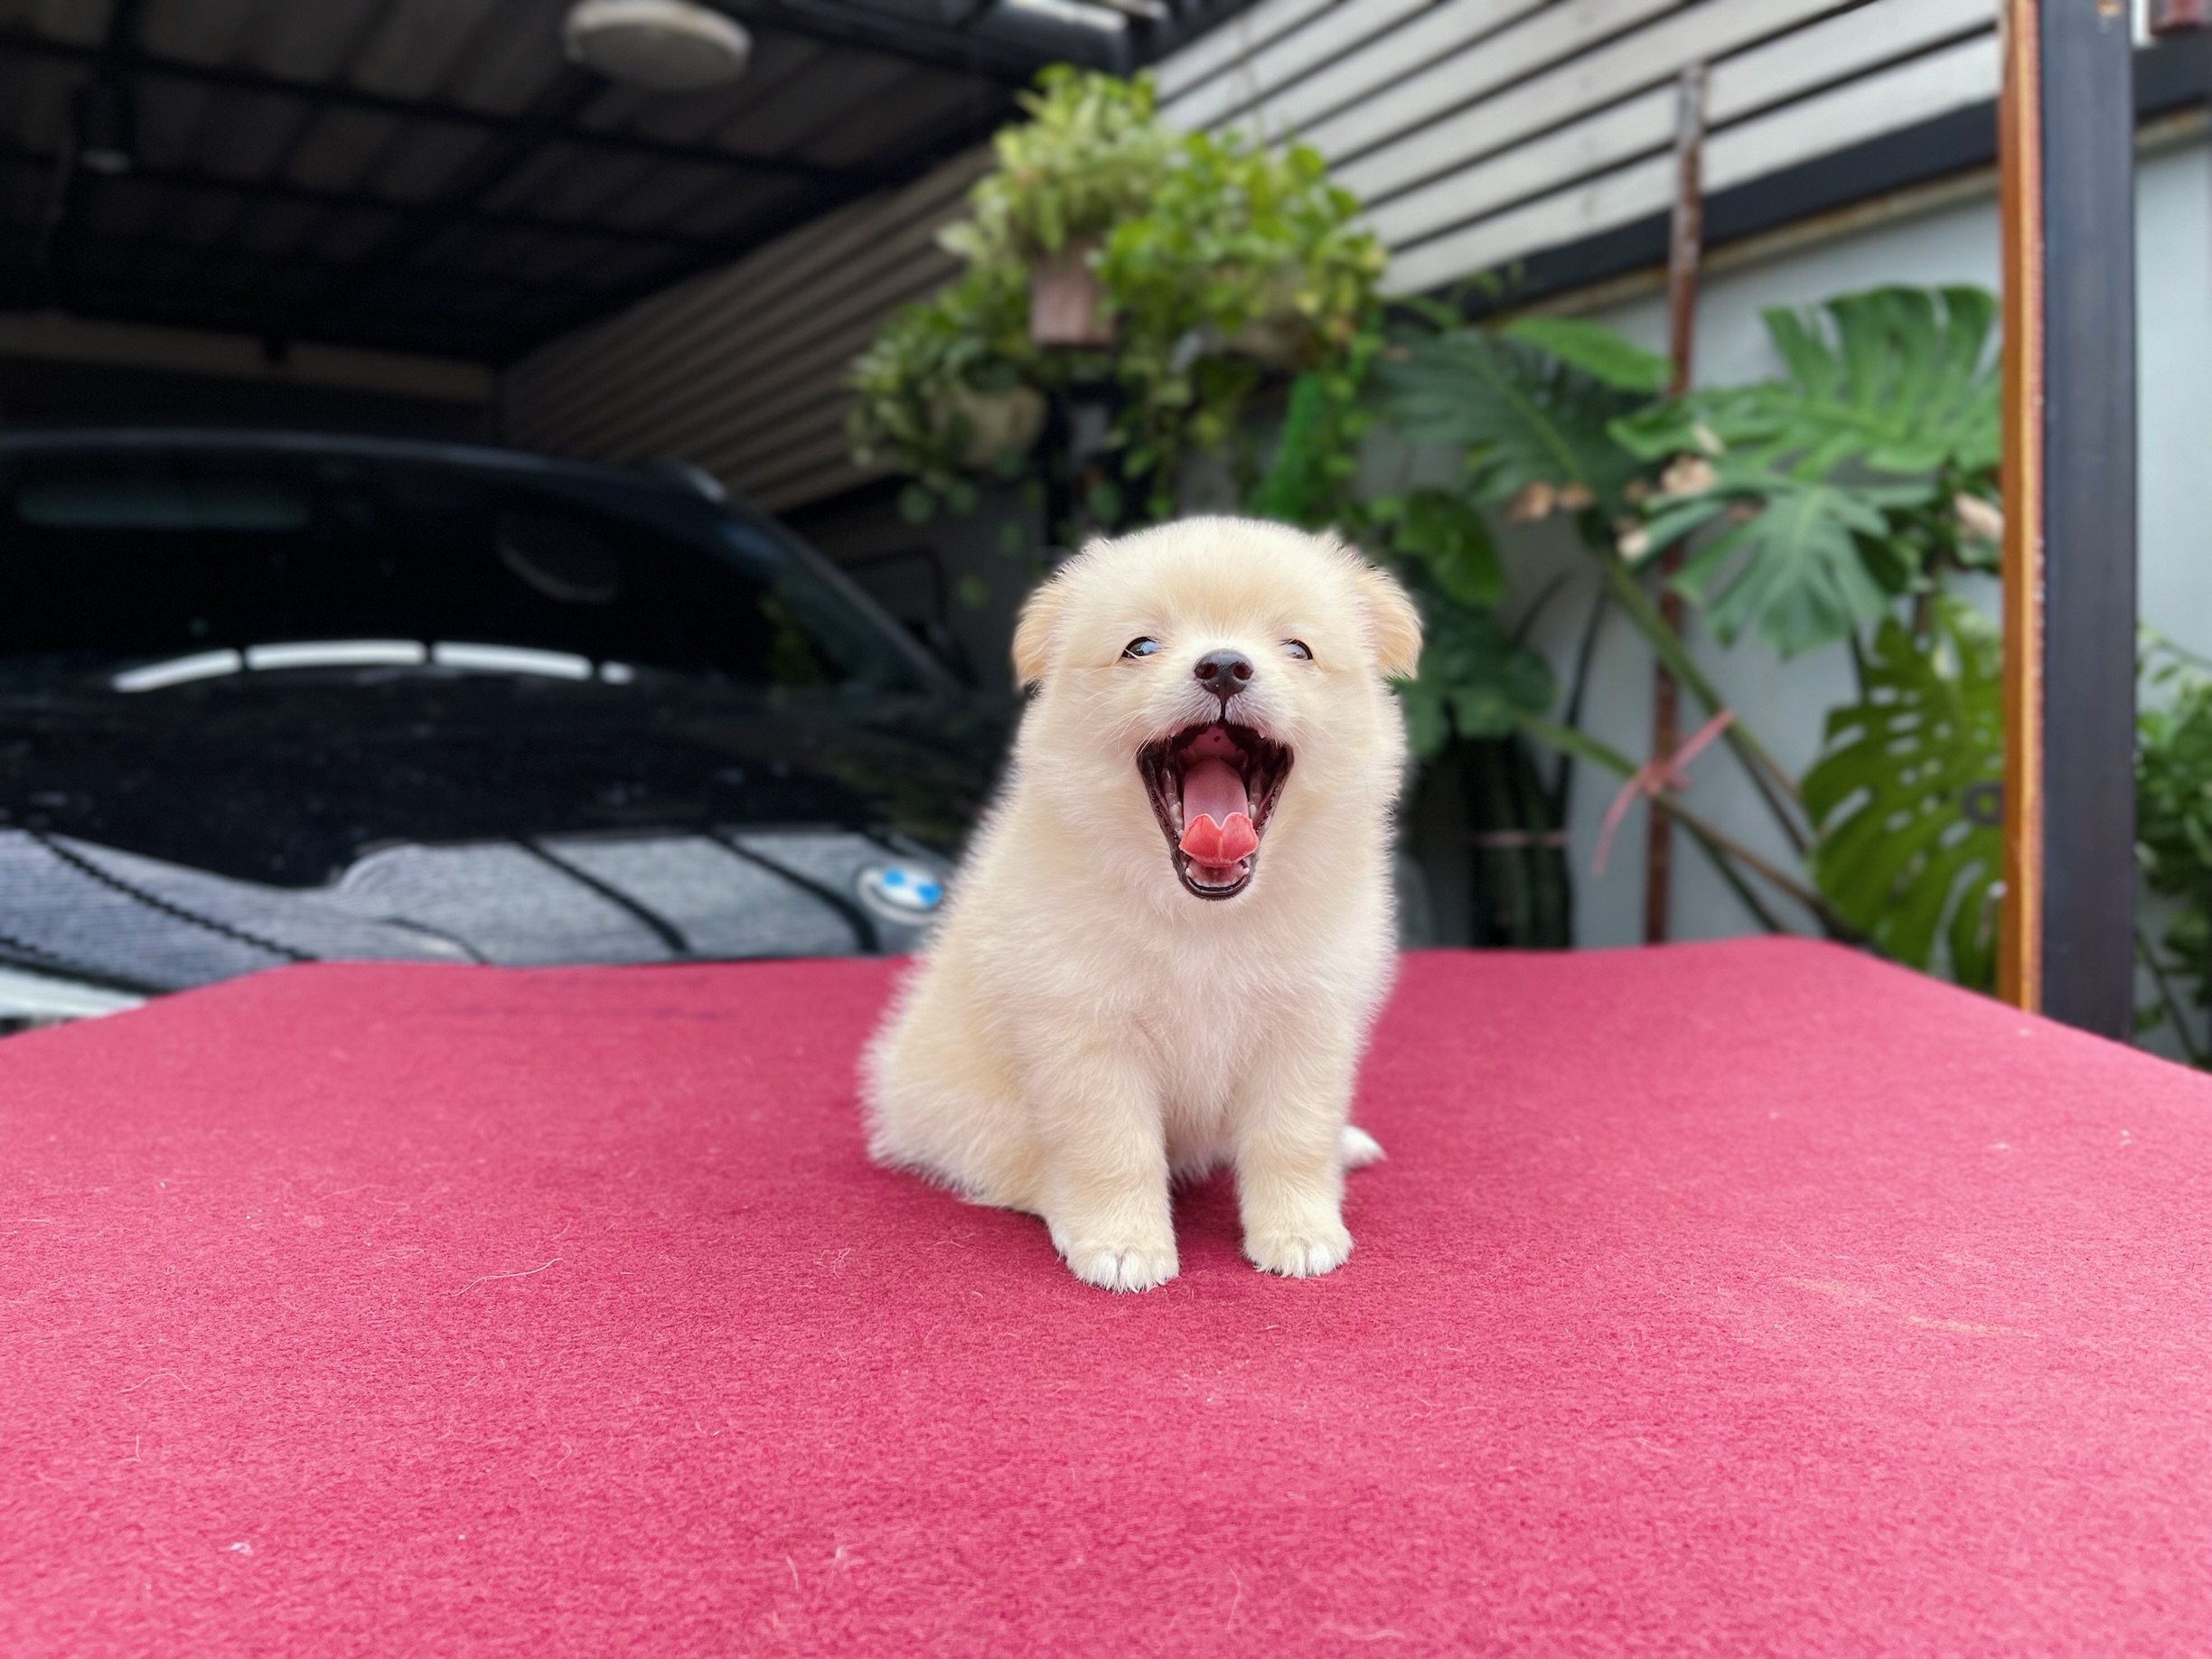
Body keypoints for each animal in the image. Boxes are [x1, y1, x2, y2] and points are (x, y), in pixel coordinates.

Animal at [862, 516, 1421, 1291]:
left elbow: (1292, 1138)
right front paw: (1124, 1244)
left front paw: (1300, 1232)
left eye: (1298, 649)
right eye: (1141, 647)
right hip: (970, 1110)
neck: (1205, 916)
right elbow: (1113, 1147)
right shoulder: (1086, 1030)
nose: (1224, 666)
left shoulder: (1307, 1024)